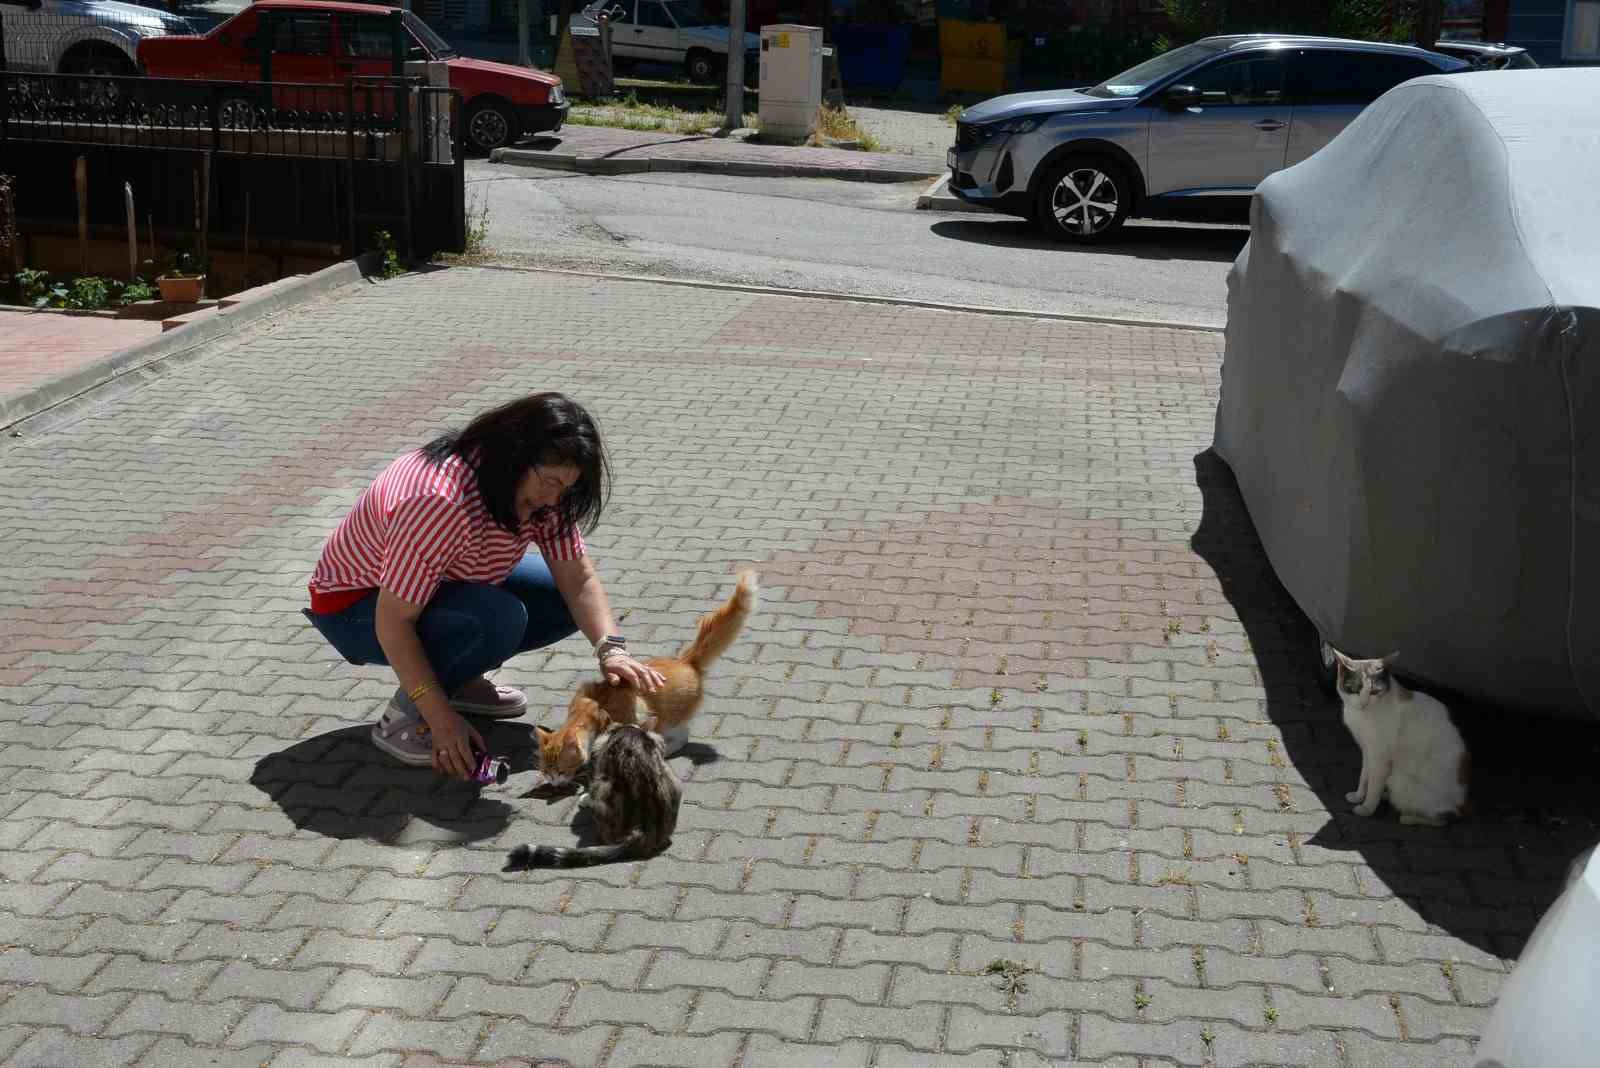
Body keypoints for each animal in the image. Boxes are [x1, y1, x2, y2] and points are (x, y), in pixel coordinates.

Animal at [537, 572, 761, 789]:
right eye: (545, 771)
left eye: (560, 770)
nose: (552, 782)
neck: (588, 711)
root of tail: (686, 660)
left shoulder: (631, 716)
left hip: (668, 718)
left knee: (682, 735)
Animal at [1331, 652, 1465, 824]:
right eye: (1355, 689)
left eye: (1374, 692)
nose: (1364, 703)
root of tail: (1463, 805)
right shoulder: (1368, 750)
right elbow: (1364, 775)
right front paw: (1358, 795)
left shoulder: (1380, 757)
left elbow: (1373, 786)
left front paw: (1367, 808)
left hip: (1399, 779)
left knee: (1443, 818)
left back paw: (1409, 818)